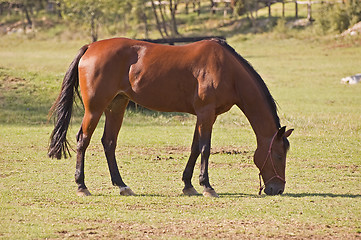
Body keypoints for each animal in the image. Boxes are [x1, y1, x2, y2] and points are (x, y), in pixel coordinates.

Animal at [47, 37, 292, 197]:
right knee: (83, 140)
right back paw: (82, 186)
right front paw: (207, 186)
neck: (227, 69)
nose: (277, 189)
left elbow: (195, 148)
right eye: (279, 155)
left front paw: (189, 185)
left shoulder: (204, 115)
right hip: (95, 108)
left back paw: (122, 185)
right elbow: (205, 148)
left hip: (117, 106)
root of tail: (91, 47)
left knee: (109, 142)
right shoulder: (206, 113)